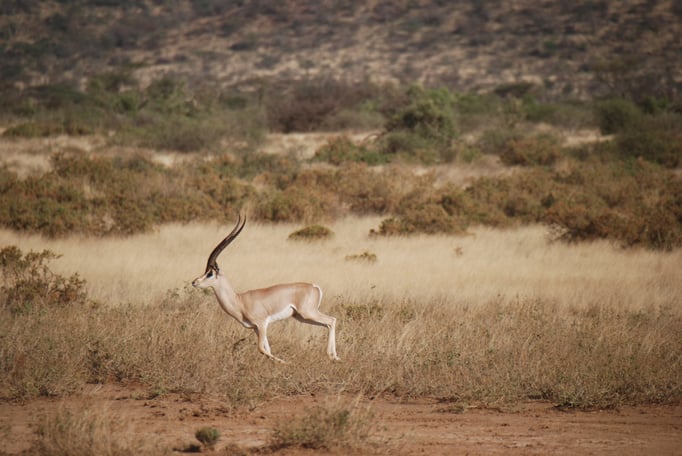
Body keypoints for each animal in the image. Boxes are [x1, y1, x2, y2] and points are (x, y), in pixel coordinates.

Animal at [191, 215, 340, 363]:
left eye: (210, 273)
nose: (194, 282)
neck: (240, 301)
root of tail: (315, 287)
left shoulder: (262, 324)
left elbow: (261, 349)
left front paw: (285, 362)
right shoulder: (256, 328)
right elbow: (267, 349)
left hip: (308, 313)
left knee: (331, 320)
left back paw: (332, 356)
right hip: (302, 317)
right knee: (328, 323)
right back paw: (335, 357)